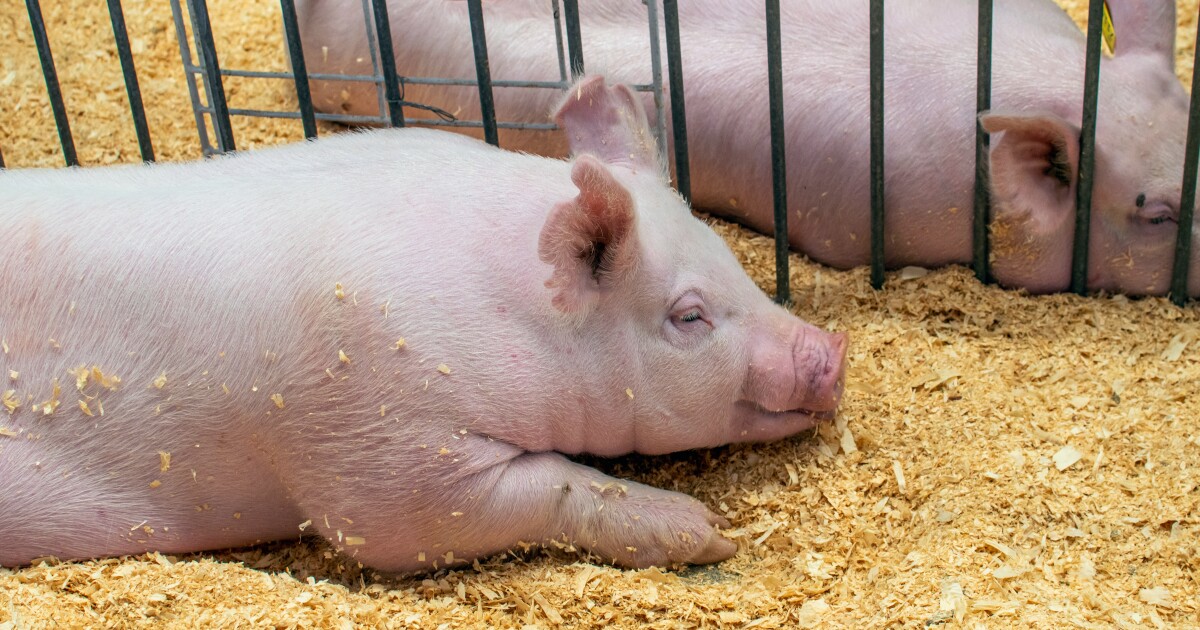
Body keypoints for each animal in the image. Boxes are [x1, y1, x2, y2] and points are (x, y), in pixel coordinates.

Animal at [0, 76, 847, 572]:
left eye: (730, 258)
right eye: (688, 315)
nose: (831, 352)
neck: (507, 307)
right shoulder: (380, 450)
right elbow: (537, 489)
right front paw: (709, 532)